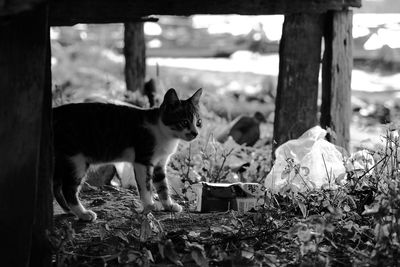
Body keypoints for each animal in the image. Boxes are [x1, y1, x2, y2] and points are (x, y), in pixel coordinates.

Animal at [52, 88, 203, 222]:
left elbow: (162, 187)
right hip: (76, 160)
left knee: (56, 186)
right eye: (184, 122)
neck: (163, 132)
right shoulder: (143, 161)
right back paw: (83, 214)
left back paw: (68, 210)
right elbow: (145, 186)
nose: (195, 133)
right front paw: (149, 206)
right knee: (68, 189)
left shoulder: (160, 164)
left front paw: (169, 206)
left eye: (198, 122)